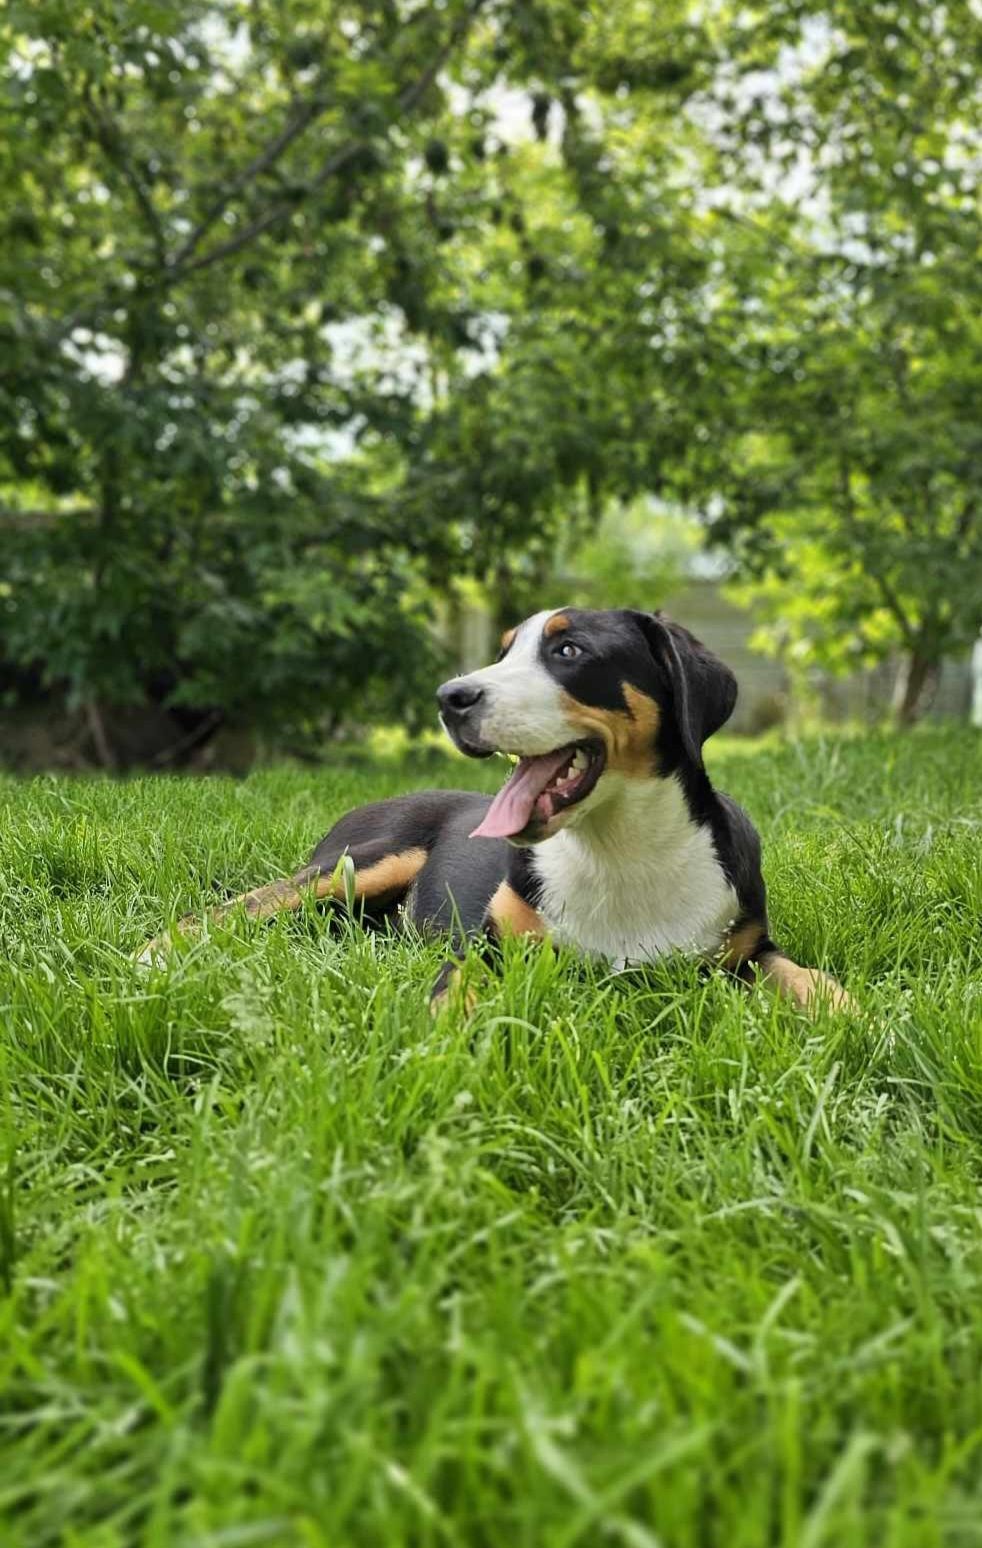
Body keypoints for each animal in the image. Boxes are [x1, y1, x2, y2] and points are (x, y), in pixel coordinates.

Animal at [141, 603, 854, 1015]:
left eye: (568, 651)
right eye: (505, 650)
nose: (449, 697)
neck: (616, 851)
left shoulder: (744, 951)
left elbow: (810, 979)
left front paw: (860, 1022)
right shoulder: (489, 947)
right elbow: (449, 997)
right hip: (356, 865)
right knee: (236, 907)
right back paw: (156, 954)